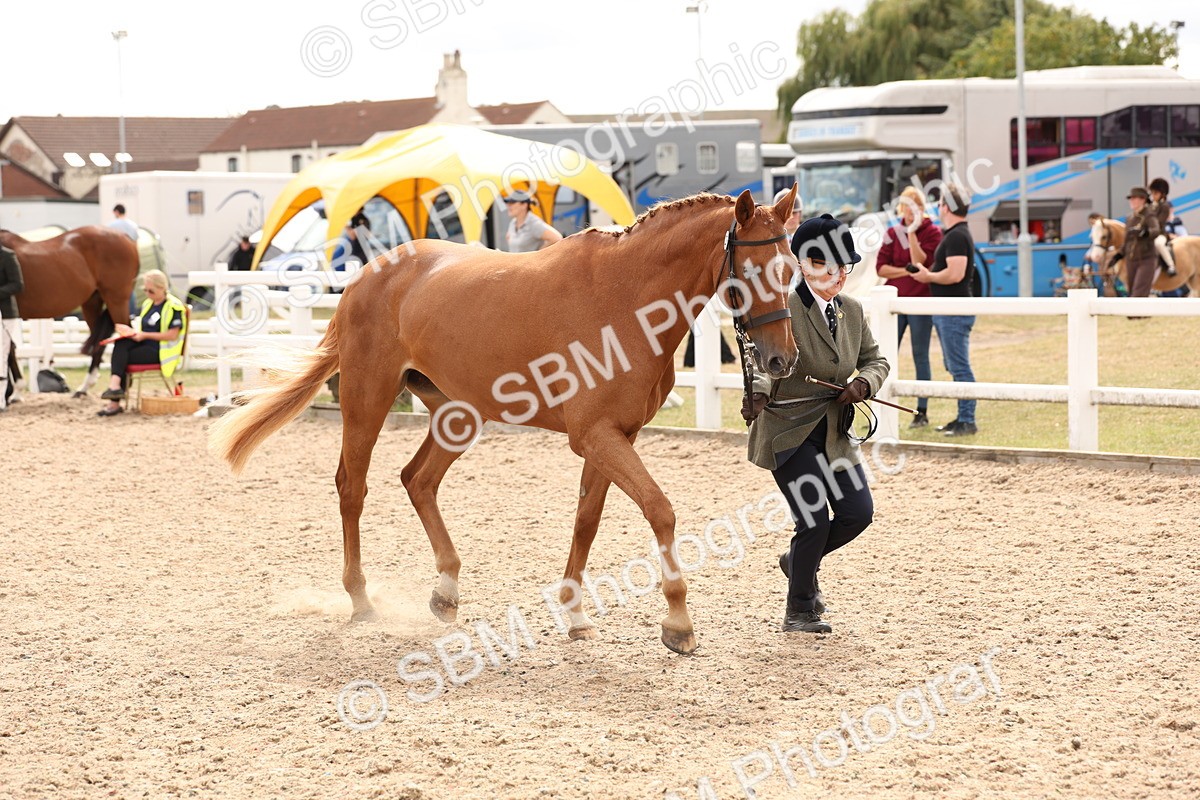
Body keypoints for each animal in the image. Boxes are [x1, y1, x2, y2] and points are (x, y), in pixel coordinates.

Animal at [0, 226, 139, 396]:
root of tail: (127, 238)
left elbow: (9, 351)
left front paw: (14, 392)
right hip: (92, 303)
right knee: (100, 343)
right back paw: (86, 387)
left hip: (116, 300)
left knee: (126, 335)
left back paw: (119, 387)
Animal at [209, 188, 801, 655]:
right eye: (752, 270)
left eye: (793, 270)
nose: (781, 361)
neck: (626, 297)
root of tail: (364, 277)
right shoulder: (597, 437)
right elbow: (660, 510)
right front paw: (678, 623)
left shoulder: (613, 437)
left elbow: (586, 521)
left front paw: (575, 614)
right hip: (367, 399)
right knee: (352, 487)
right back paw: (360, 598)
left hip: (457, 415)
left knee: (417, 480)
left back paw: (446, 592)